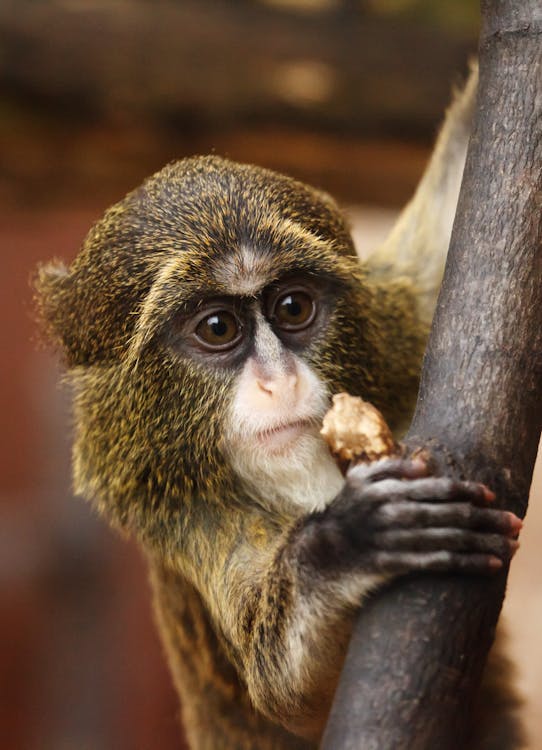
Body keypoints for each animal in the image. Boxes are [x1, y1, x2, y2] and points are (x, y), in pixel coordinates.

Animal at [34, 67, 528, 748]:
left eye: (293, 308)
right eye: (218, 327)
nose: (280, 381)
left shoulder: (398, 324)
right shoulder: (182, 513)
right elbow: (294, 697)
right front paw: (347, 544)